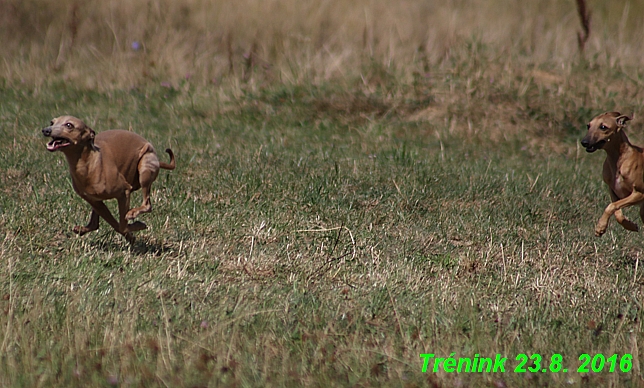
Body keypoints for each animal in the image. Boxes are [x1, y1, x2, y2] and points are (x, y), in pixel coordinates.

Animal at [43, 115, 175, 242]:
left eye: (69, 125)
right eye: (52, 122)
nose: (45, 130)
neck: (90, 163)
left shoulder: (124, 192)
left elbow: (122, 225)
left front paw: (137, 225)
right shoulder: (94, 201)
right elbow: (116, 225)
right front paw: (131, 235)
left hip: (145, 167)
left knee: (147, 204)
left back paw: (133, 213)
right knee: (95, 223)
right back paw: (83, 229)